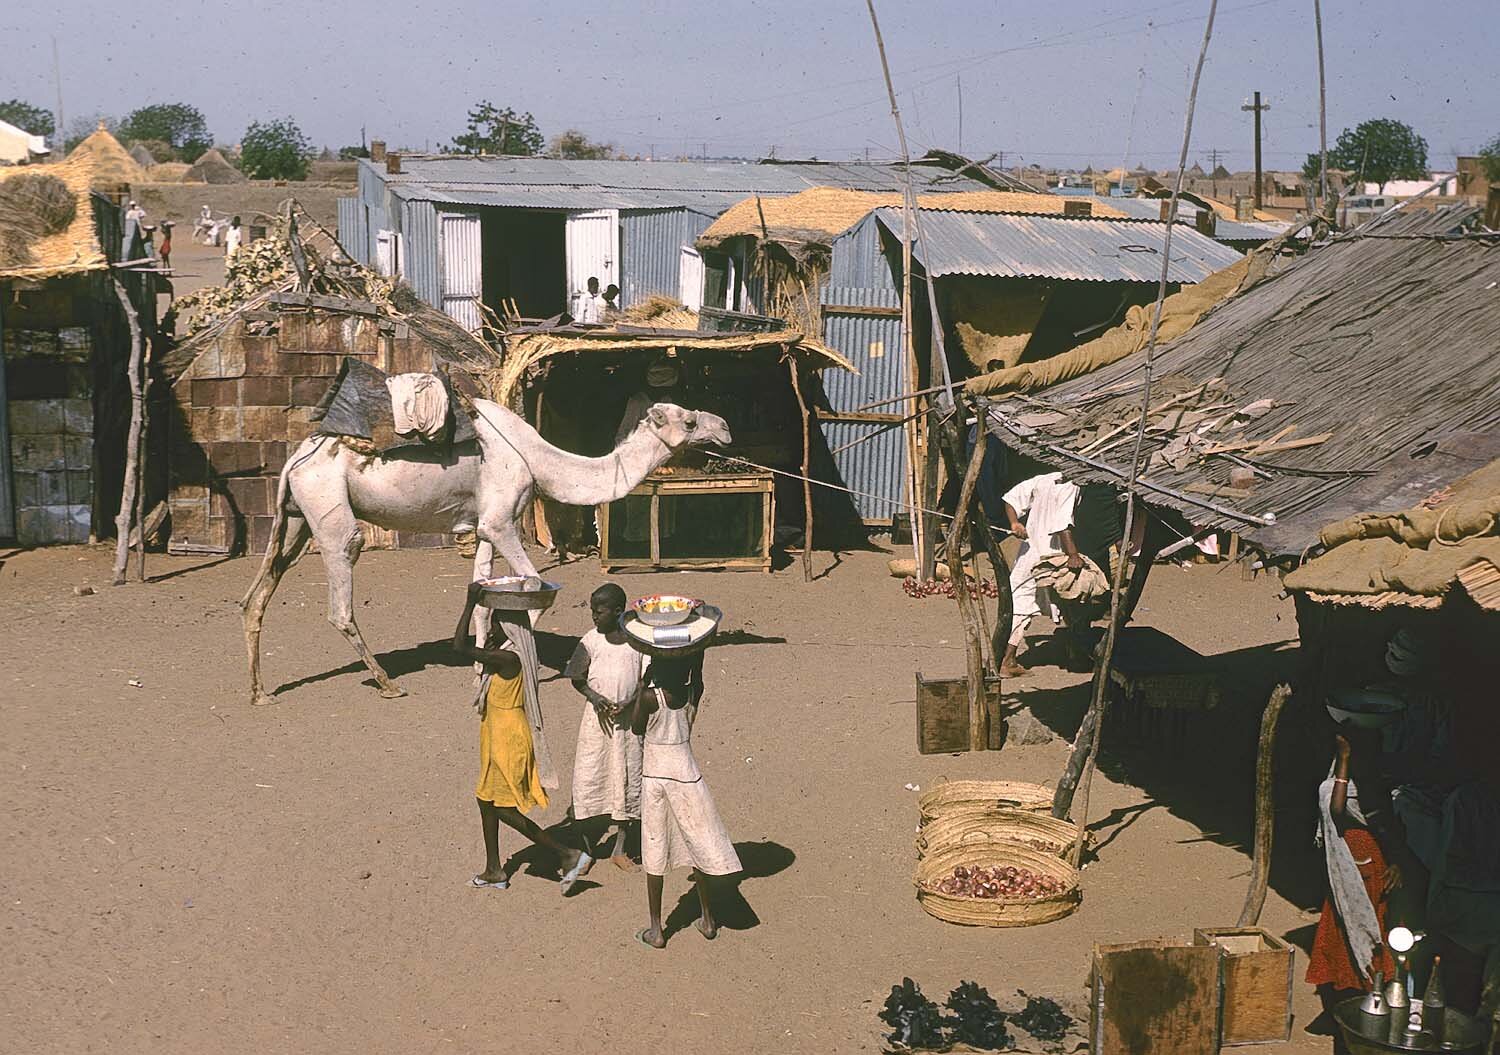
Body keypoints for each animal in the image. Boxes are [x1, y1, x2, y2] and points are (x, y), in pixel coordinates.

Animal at [241, 399, 732, 705]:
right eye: (689, 421)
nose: (725, 427)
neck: (538, 459)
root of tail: (296, 457)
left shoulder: (482, 527)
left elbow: (479, 595)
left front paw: (479, 671)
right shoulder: (500, 521)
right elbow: (535, 588)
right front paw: (515, 657)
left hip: (296, 517)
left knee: (256, 595)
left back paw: (260, 692)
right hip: (328, 507)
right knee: (341, 596)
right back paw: (386, 683)